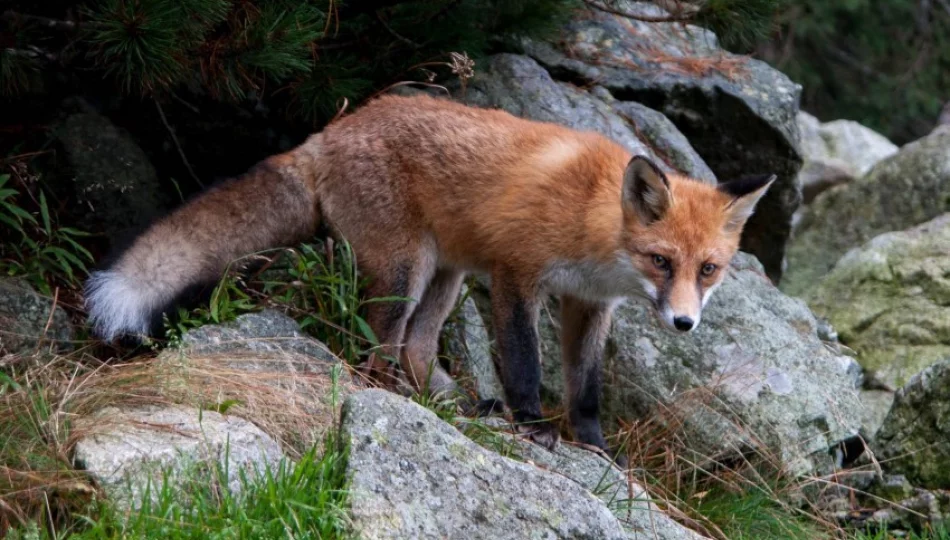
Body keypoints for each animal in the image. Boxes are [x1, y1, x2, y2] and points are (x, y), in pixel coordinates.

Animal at [85, 95, 776, 458]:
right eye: (661, 261)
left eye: (708, 269)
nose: (684, 324)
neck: (593, 222)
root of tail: (329, 132)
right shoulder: (516, 276)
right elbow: (524, 362)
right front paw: (532, 424)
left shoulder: (589, 305)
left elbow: (586, 386)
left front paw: (592, 443)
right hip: (407, 270)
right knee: (375, 348)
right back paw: (396, 396)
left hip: (446, 276)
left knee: (416, 349)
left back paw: (448, 401)